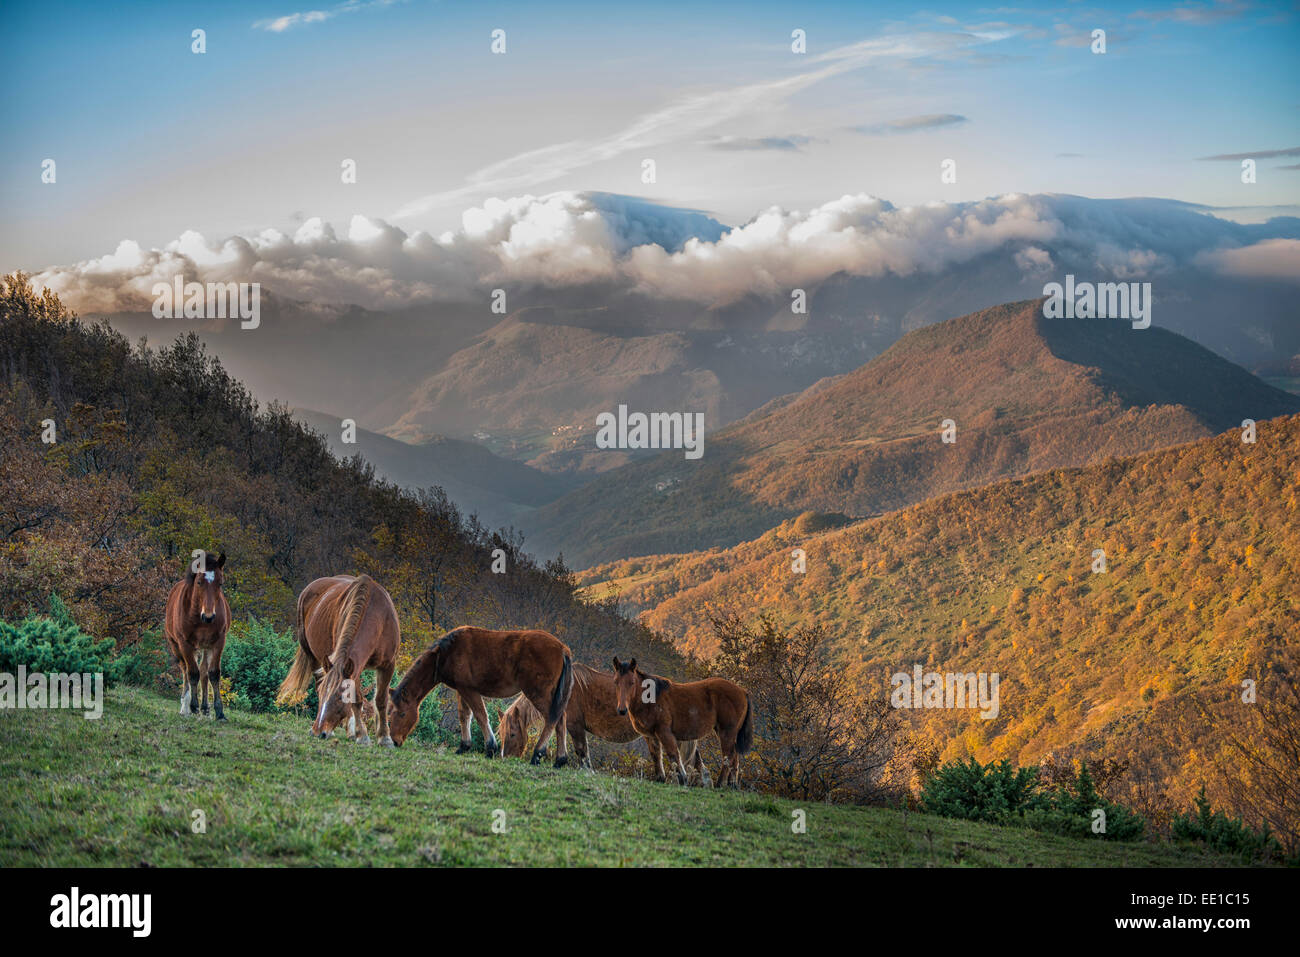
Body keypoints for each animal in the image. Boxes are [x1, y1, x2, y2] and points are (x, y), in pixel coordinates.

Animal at [165, 548, 231, 722]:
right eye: (199, 582)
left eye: (220, 583)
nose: (209, 616)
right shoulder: (185, 643)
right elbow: (192, 673)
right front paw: (193, 707)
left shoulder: (218, 642)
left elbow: (213, 673)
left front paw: (219, 712)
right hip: (176, 646)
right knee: (185, 670)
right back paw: (185, 707)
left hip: (205, 646)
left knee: (204, 672)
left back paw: (205, 708)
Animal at [273, 574, 395, 748]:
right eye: (323, 694)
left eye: (339, 697)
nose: (317, 732)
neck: (377, 617)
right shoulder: (353, 667)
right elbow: (357, 700)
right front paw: (362, 736)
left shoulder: (388, 665)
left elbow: (381, 700)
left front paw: (385, 738)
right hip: (313, 656)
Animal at [382, 624, 572, 764]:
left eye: (402, 714)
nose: (395, 741)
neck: (446, 653)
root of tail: (562, 648)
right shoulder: (461, 689)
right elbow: (465, 716)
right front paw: (464, 746)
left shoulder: (469, 690)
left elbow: (480, 716)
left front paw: (490, 748)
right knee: (561, 720)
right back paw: (560, 760)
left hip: (538, 693)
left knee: (552, 720)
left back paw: (537, 755)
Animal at [616, 657, 759, 785]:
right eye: (616, 682)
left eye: (632, 682)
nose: (622, 710)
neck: (651, 697)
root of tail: (742, 691)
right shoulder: (650, 736)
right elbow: (656, 756)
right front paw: (661, 779)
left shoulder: (664, 732)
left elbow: (674, 755)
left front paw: (682, 778)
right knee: (734, 757)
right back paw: (732, 784)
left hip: (727, 732)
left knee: (728, 756)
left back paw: (720, 784)